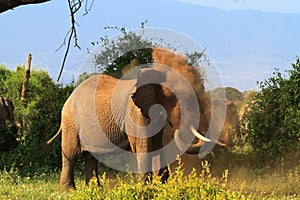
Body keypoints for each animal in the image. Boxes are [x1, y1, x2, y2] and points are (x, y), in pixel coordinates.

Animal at [45, 47, 223, 191]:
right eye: (174, 97)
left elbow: (157, 145)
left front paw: (160, 185)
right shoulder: (136, 114)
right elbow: (144, 147)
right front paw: (145, 187)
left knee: (91, 157)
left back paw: (95, 189)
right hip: (70, 121)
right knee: (70, 154)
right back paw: (69, 191)